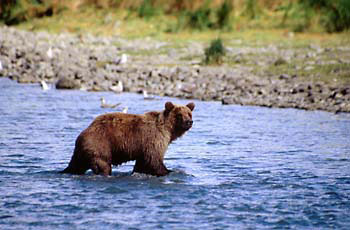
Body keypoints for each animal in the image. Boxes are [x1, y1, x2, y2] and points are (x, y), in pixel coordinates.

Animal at [60, 101, 194, 176]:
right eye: (179, 115)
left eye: (189, 113)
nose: (189, 121)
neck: (169, 130)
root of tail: (82, 134)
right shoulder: (154, 138)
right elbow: (154, 159)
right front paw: (168, 171)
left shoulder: (143, 148)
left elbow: (143, 163)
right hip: (100, 145)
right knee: (103, 166)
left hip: (82, 152)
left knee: (76, 165)